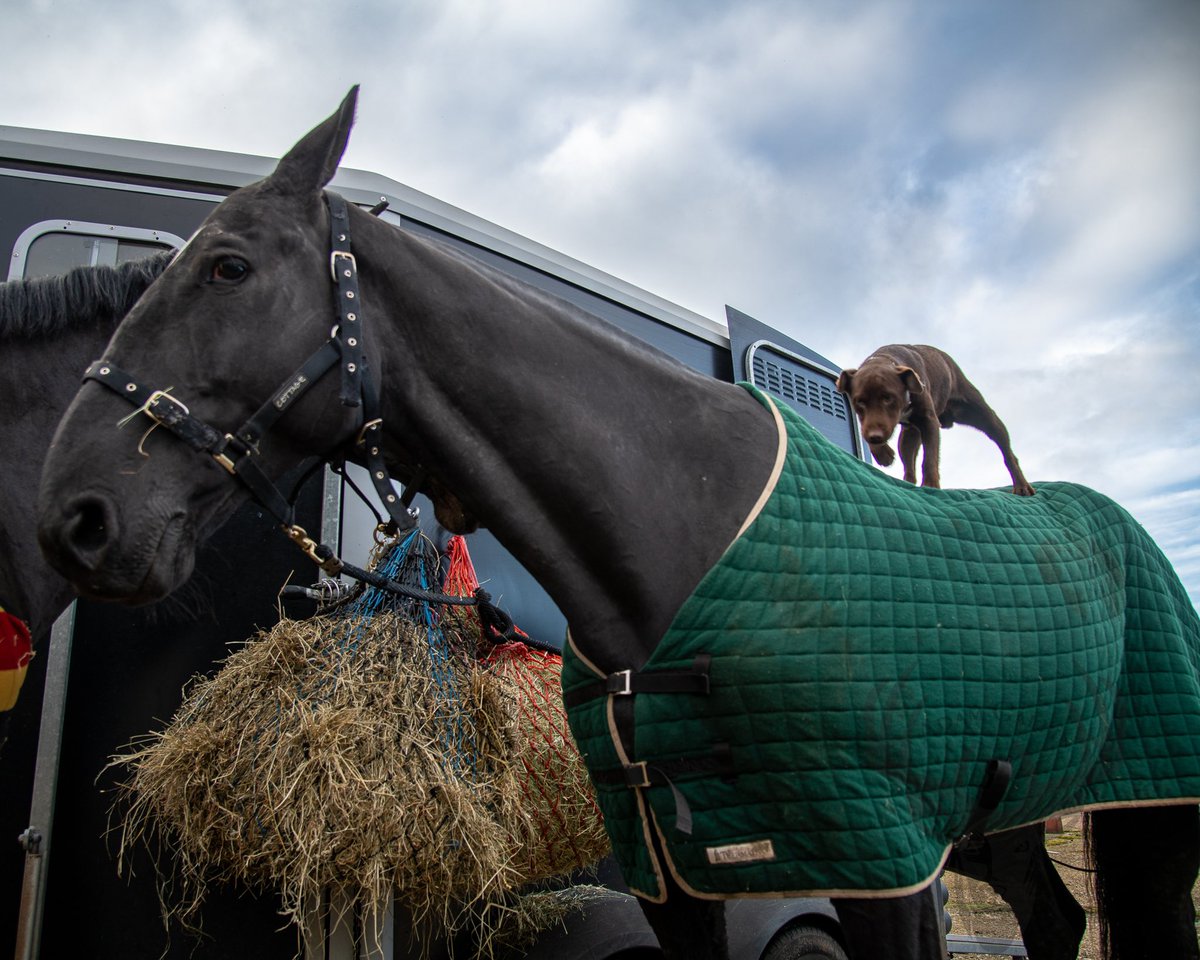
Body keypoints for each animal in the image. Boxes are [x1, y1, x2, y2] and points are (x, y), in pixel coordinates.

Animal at [840, 343, 1036, 494]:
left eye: (888, 398)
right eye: (859, 402)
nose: (876, 437)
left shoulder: (929, 422)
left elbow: (930, 459)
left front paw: (930, 485)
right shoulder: (872, 422)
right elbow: (866, 430)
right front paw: (883, 453)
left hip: (984, 416)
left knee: (1008, 453)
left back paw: (1021, 486)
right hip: (909, 436)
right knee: (909, 465)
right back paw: (907, 482)